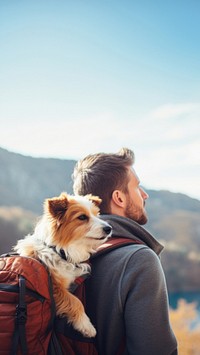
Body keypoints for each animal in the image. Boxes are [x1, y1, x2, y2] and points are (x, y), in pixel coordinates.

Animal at [13, 193, 112, 338]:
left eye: (96, 214)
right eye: (82, 217)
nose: (109, 228)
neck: (60, 251)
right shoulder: (54, 288)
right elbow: (75, 301)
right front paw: (86, 325)